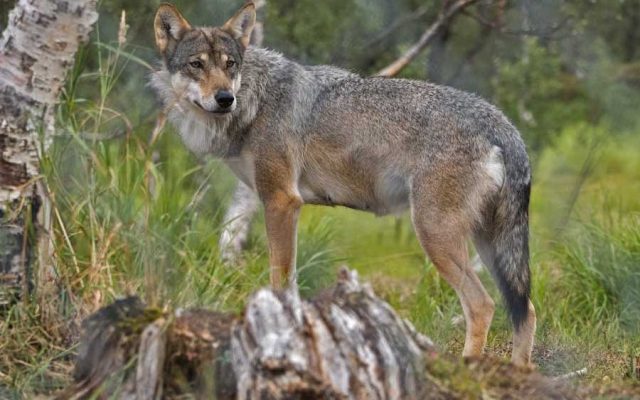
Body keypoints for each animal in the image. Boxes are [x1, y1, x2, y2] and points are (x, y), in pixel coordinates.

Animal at [151, 2, 536, 366]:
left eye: (230, 65)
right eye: (197, 65)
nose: (224, 98)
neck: (255, 101)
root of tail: (503, 123)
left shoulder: (281, 201)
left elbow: (281, 282)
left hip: (436, 234)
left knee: (482, 305)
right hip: (487, 244)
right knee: (526, 311)